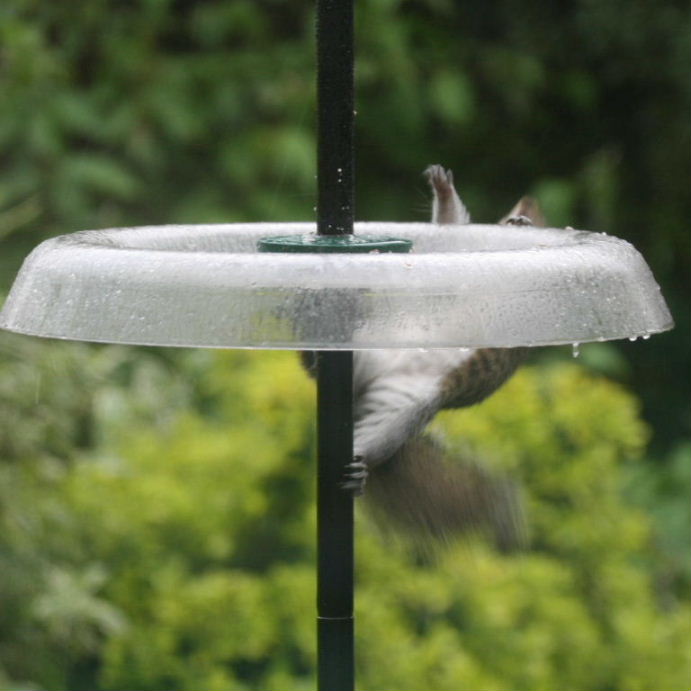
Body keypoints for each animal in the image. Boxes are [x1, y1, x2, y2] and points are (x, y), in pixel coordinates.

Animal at [303, 165, 545, 547]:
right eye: (504, 220)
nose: (518, 221)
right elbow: (449, 227)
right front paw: (443, 189)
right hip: (368, 358)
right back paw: (313, 347)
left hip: (403, 407)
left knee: (374, 443)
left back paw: (360, 468)